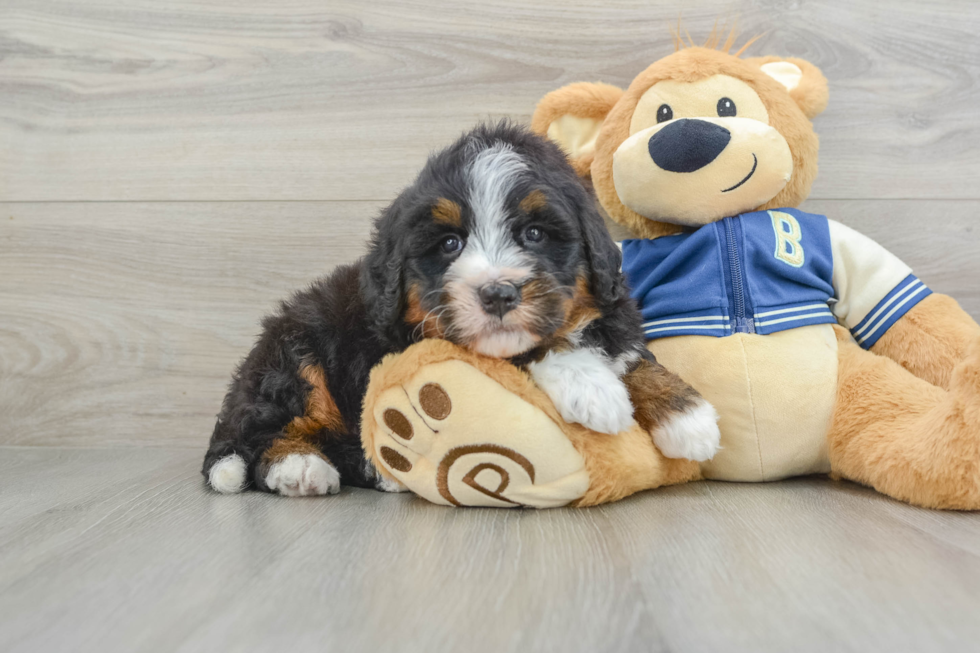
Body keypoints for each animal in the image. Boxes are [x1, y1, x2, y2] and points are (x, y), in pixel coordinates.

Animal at [201, 122, 720, 494]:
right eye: (450, 243)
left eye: (534, 234)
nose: (498, 294)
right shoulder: (420, 339)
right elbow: (527, 350)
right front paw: (593, 388)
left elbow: (625, 351)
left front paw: (687, 415)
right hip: (295, 353)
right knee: (261, 435)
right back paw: (303, 468)